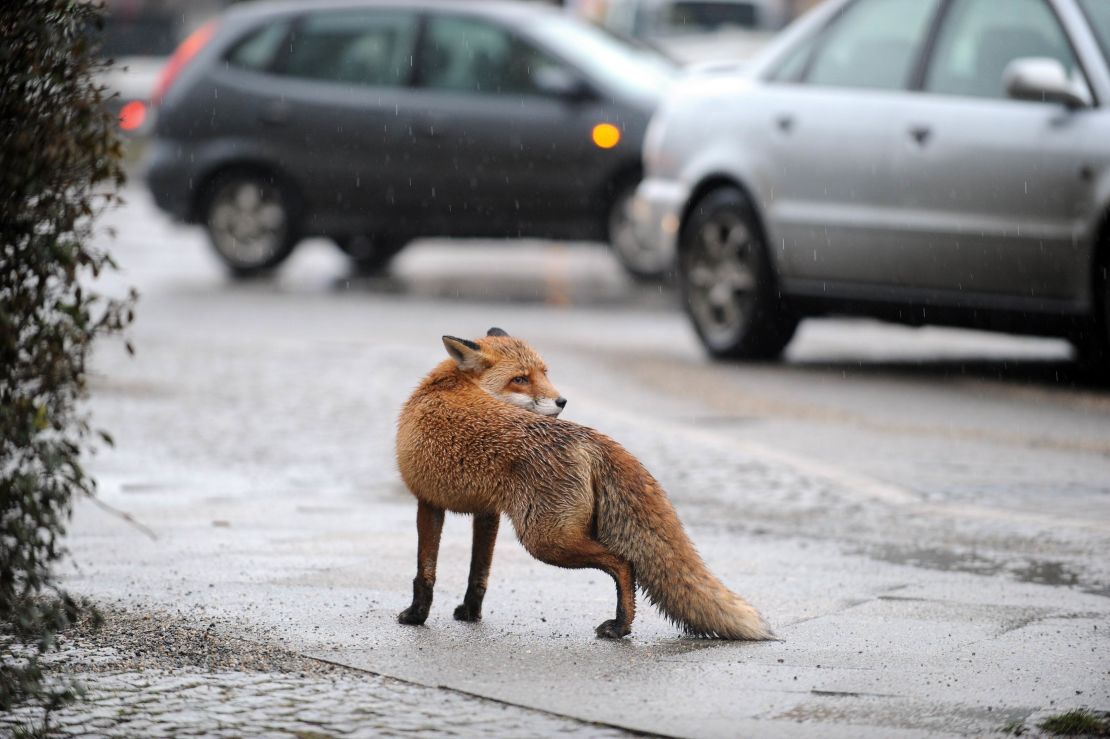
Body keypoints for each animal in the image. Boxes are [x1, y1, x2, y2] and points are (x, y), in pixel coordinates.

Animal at [397, 328, 772, 639]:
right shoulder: (487, 513)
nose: (562, 401)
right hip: (552, 535)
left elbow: (425, 571)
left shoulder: (427, 501)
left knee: (624, 562)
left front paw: (416, 616)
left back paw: (620, 626)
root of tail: (589, 436)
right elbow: (479, 572)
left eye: (544, 374)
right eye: (520, 379)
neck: (448, 384)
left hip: (545, 540)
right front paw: (470, 613)